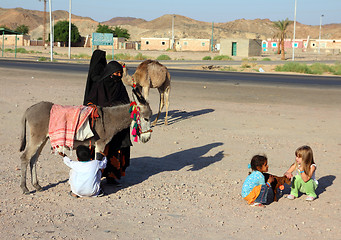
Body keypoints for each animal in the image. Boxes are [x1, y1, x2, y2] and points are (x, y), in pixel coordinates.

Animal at [18, 87, 151, 193]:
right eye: (146, 118)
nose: (147, 138)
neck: (109, 119)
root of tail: (29, 109)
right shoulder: (100, 143)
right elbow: (98, 163)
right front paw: (98, 187)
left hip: (43, 138)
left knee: (33, 159)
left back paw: (37, 186)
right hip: (37, 137)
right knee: (25, 157)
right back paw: (25, 188)